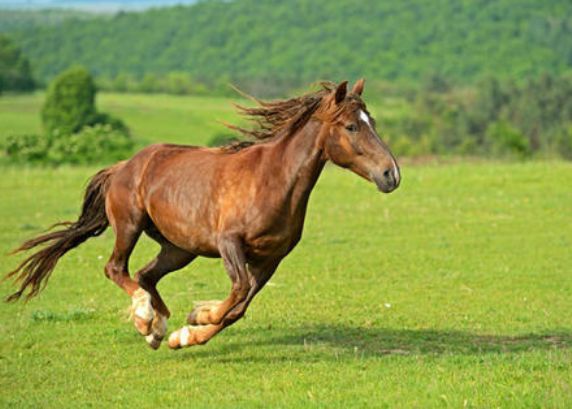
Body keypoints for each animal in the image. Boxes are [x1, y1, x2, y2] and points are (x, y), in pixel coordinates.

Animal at [6, 80, 400, 350]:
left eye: (372, 121)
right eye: (351, 126)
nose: (391, 174)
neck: (272, 180)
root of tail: (123, 166)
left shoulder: (271, 258)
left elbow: (239, 307)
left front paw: (187, 330)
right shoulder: (229, 243)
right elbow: (237, 292)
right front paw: (197, 319)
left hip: (180, 248)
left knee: (146, 275)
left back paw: (157, 330)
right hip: (130, 226)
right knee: (117, 269)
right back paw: (145, 318)